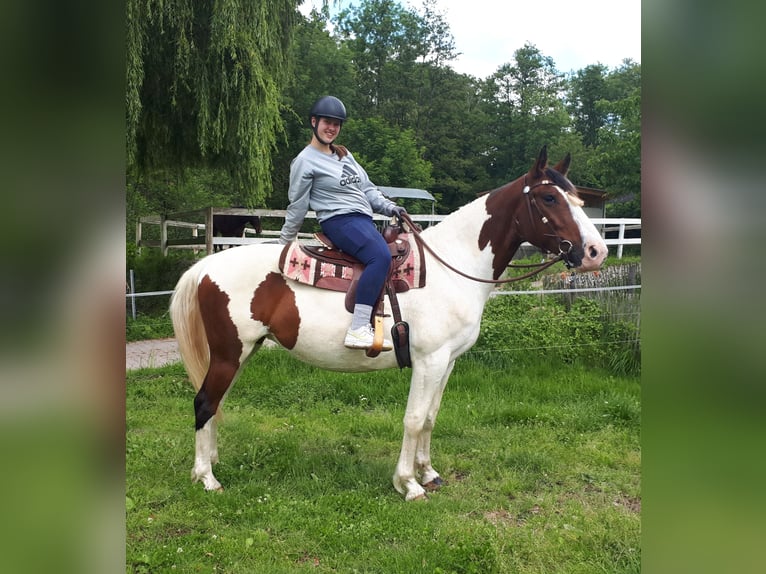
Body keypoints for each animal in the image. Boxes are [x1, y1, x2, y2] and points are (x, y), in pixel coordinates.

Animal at [171, 147, 608, 500]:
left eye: (578, 198)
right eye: (549, 197)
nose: (596, 252)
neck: (452, 267)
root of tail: (206, 265)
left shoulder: (448, 362)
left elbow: (430, 417)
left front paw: (428, 473)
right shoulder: (429, 361)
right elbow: (413, 420)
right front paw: (408, 484)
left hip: (241, 353)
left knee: (215, 403)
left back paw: (211, 462)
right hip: (230, 353)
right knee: (205, 402)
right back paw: (206, 478)